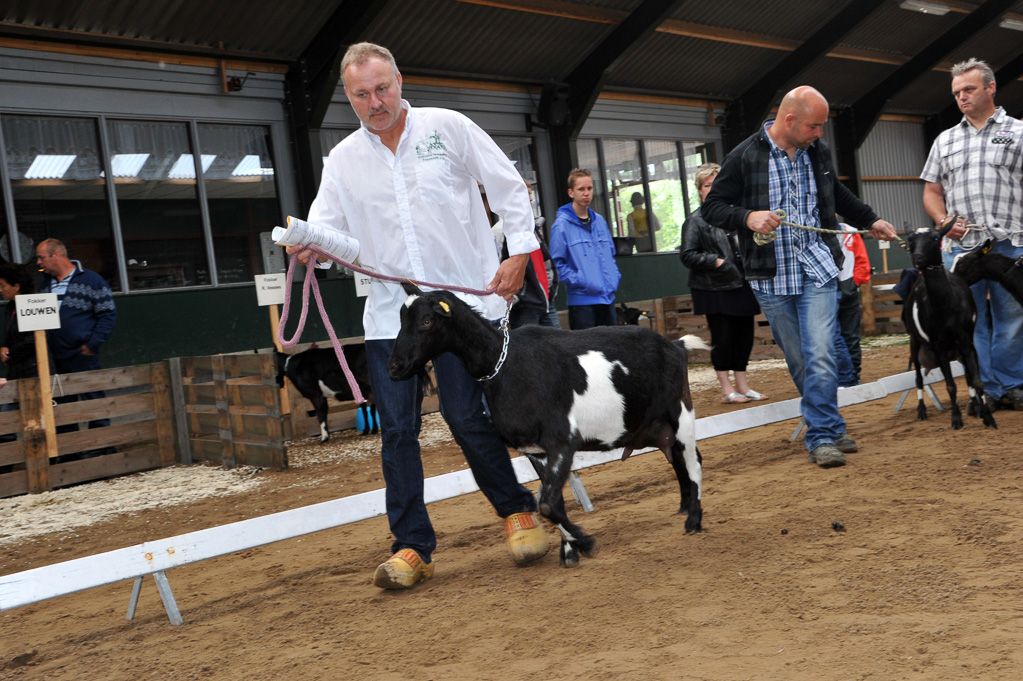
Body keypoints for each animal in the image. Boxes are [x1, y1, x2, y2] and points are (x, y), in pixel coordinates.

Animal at [386, 282, 707, 568]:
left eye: (427, 321)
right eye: (401, 320)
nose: (394, 368)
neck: (506, 365)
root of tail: (675, 345)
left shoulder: (562, 441)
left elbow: (548, 504)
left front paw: (585, 542)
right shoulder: (535, 451)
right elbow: (553, 501)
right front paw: (569, 550)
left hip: (681, 410)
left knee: (693, 460)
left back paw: (694, 519)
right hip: (657, 426)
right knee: (676, 456)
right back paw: (684, 507)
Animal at [908, 219, 994, 427]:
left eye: (935, 238)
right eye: (909, 240)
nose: (918, 258)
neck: (945, 305)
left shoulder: (966, 341)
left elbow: (976, 380)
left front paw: (987, 416)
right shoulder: (938, 346)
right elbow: (950, 386)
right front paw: (956, 418)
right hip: (915, 340)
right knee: (918, 377)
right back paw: (921, 410)